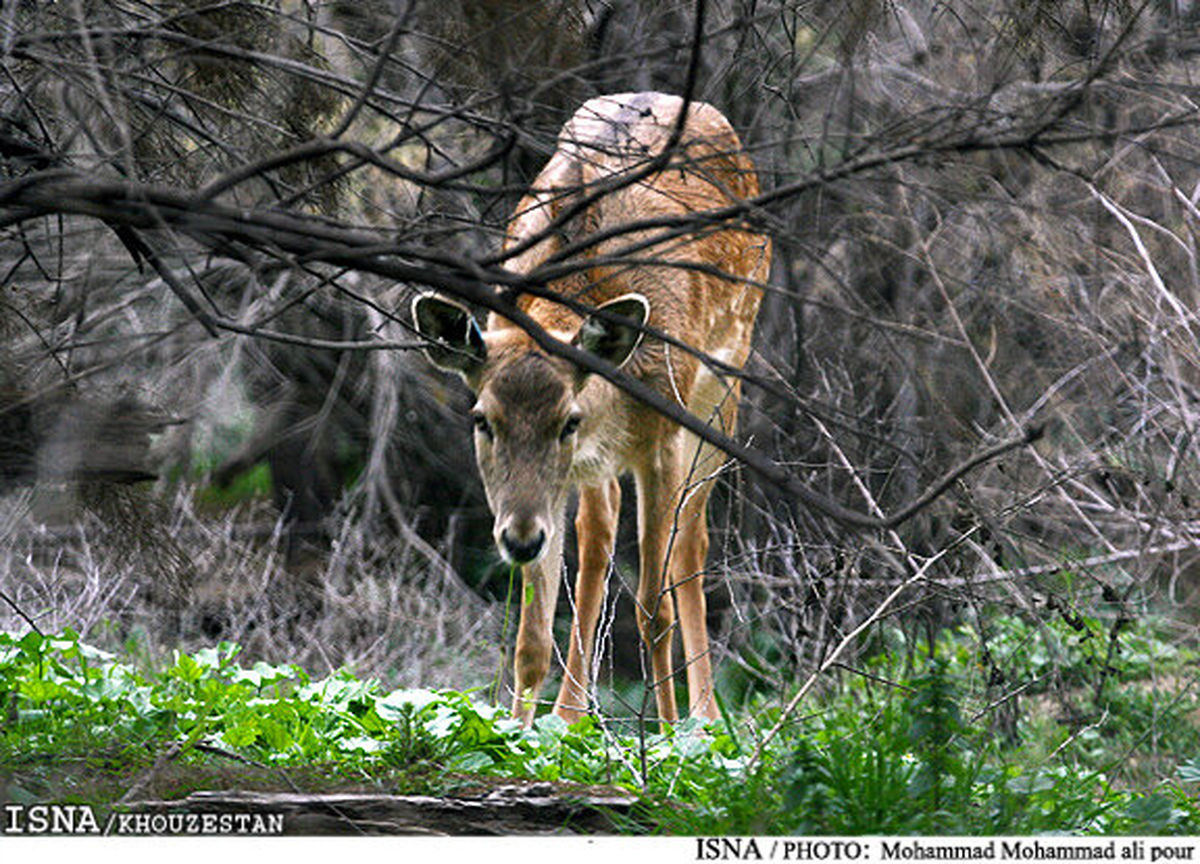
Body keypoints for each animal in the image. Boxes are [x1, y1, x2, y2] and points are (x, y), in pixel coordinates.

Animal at [412, 93, 768, 729]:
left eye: (567, 420)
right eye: (482, 419)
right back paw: (573, 713)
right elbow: (531, 634)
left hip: (725, 383)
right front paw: (519, 735)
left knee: (692, 543)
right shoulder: (552, 487)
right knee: (599, 535)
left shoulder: (663, 435)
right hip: (595, 473)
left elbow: (653, 610)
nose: (519, 539)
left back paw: (704, 715)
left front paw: (670, 735)